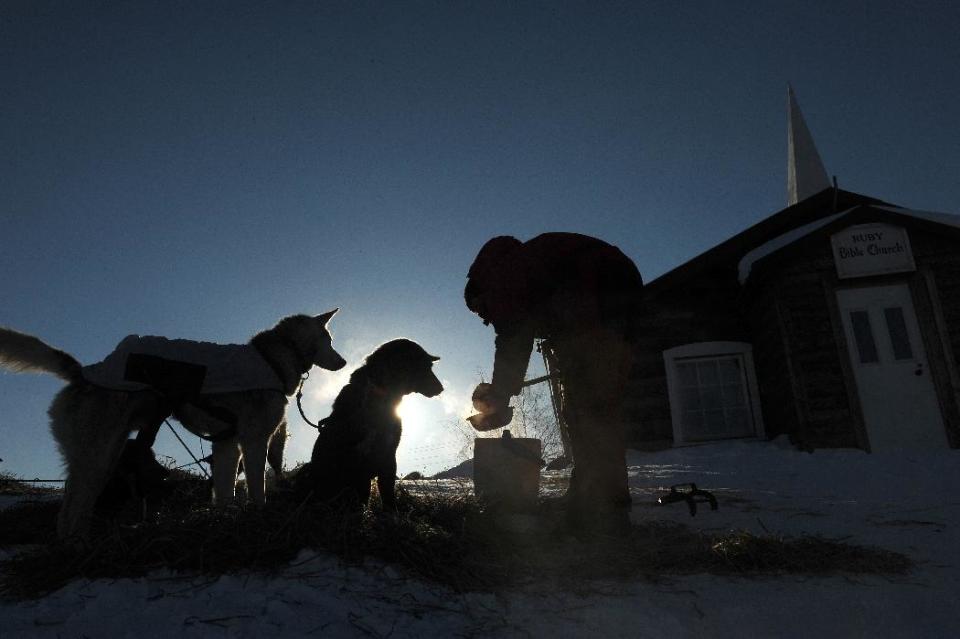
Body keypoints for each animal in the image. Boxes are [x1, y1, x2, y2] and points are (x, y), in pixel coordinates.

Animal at [0, 312, 344, 540]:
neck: (272, 359)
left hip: (103, 457)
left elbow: (225, 491)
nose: (342, 362)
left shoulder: (227, 445)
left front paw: (225, 520)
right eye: (328, 340)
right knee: (70, 511)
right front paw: (258, 517)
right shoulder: (254, 440)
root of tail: (83, 372)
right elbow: (257, 489)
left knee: (71, 509)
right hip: (98, 457)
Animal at [308, 338, 442, 512]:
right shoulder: (358, 458)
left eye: (430, 366)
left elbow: (387, 491)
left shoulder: (389, 454)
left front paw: (391, 513)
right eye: (424, 367)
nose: (441, 388)